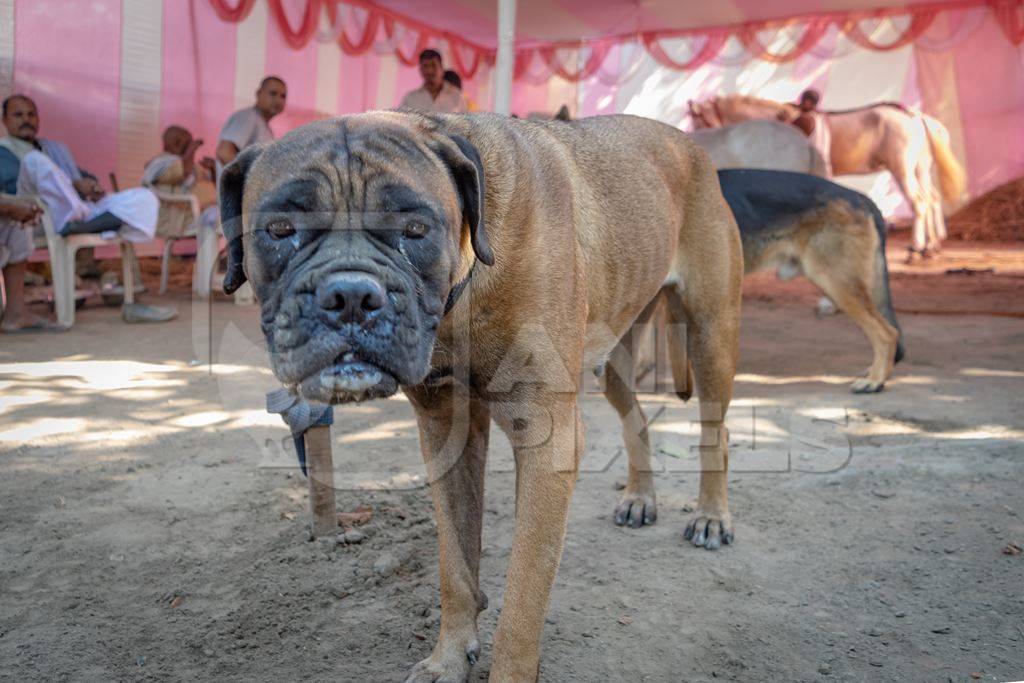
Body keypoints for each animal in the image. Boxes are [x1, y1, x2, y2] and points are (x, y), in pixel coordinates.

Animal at [220, 113, 741, 683]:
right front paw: (449, 656)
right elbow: (455, 563)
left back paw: (711, 516)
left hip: (710, 335)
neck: (465, 288)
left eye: (415, 230)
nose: (351, 296)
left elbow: (523, 596)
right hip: (617, 357)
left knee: (717, 432)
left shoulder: (547, 440)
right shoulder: (446, 433)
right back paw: (641, 496)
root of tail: (688, 144)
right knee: (638, 418)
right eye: (280, 230)